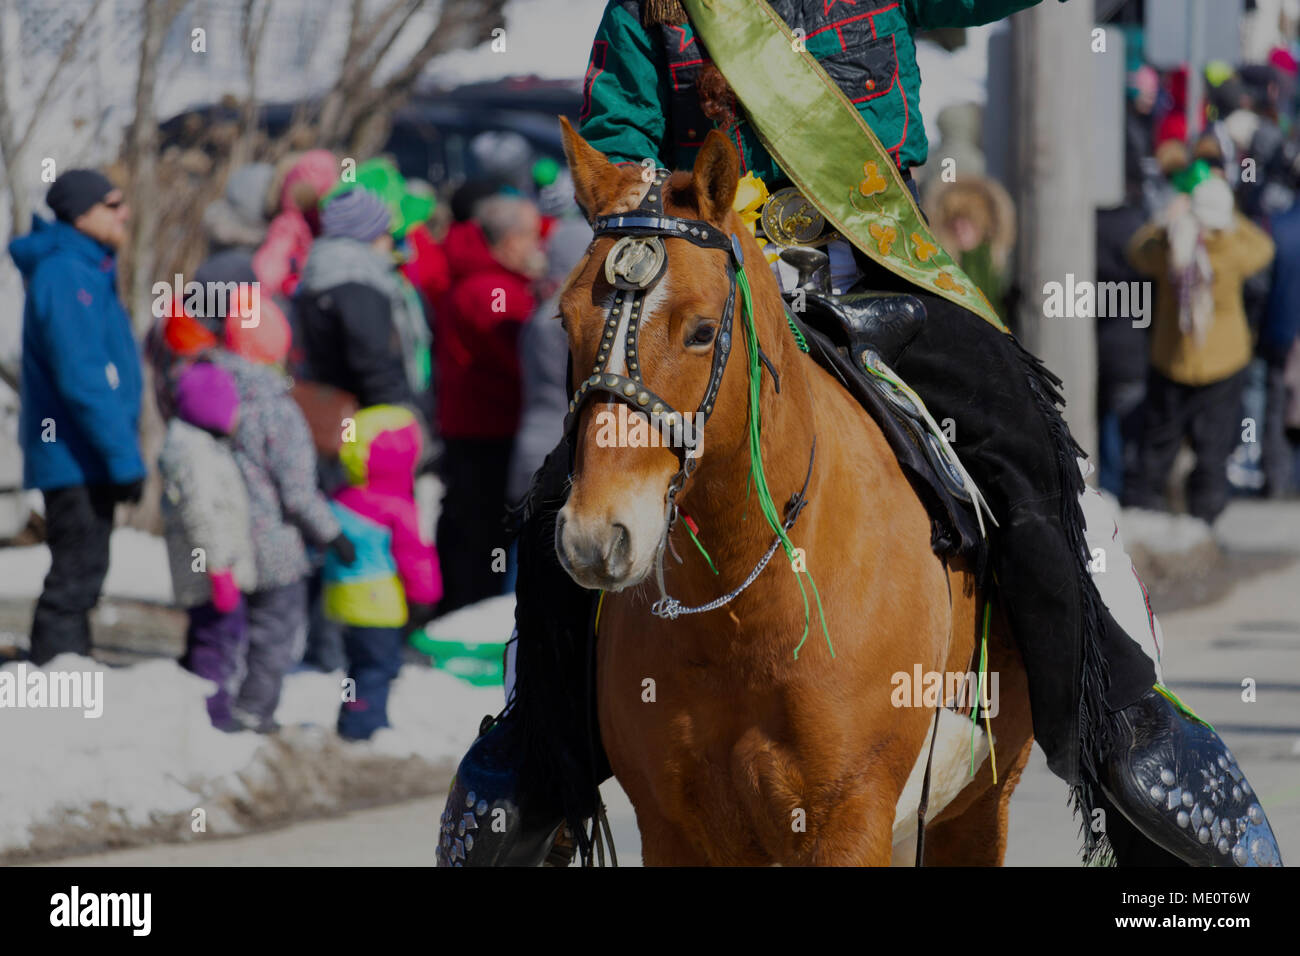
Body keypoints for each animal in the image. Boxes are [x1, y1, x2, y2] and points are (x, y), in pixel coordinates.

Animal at [559, 113, 1034, 868]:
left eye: (701, 331)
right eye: (564, 320)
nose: (596, 535)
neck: (742, 607)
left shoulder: (850, 821)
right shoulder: (672, 830)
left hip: (981, 805)